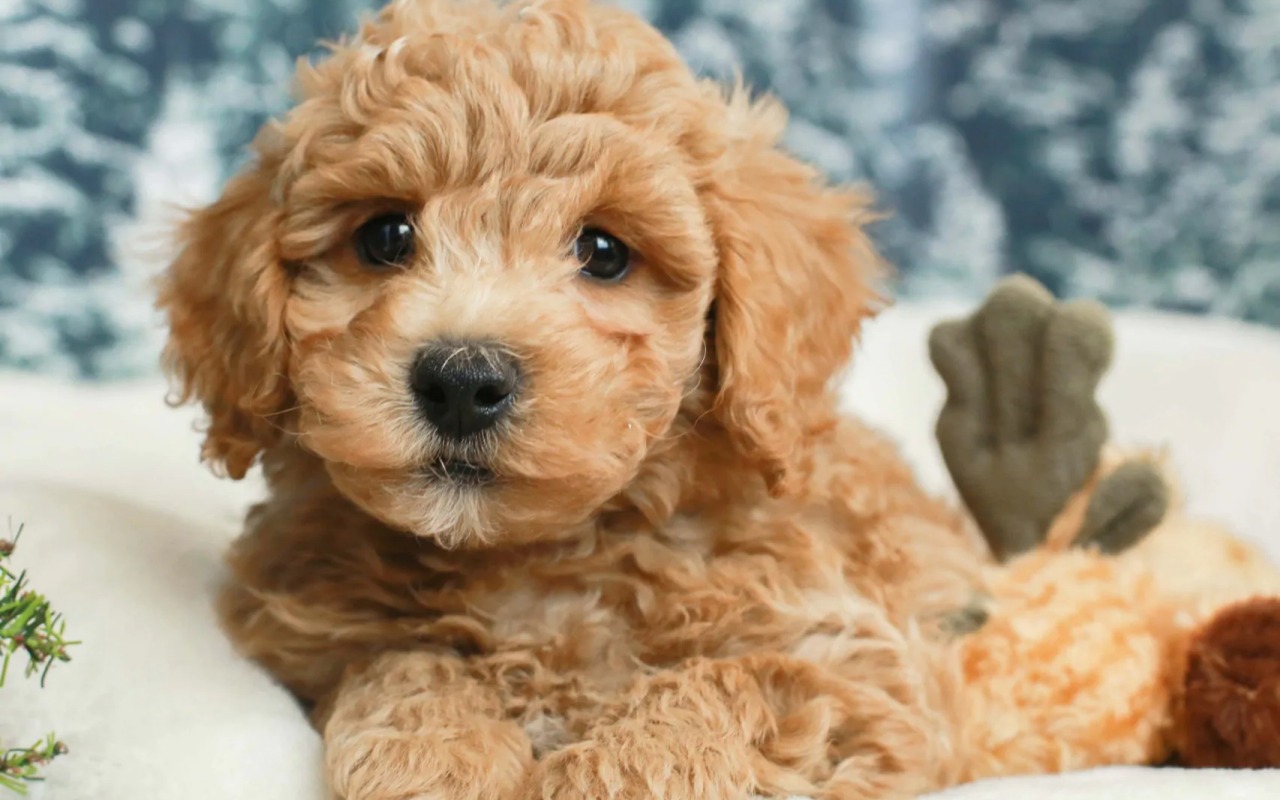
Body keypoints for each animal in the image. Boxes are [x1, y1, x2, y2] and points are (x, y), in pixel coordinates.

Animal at [162, 3, 988, 793]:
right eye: (385, 237)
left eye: (604, 253)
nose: (462, 380)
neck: (536, 561)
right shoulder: (306, 635)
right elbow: (402, 656)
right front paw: (433, 751)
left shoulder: (862, 675)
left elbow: (733, 683)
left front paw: (608, 768)